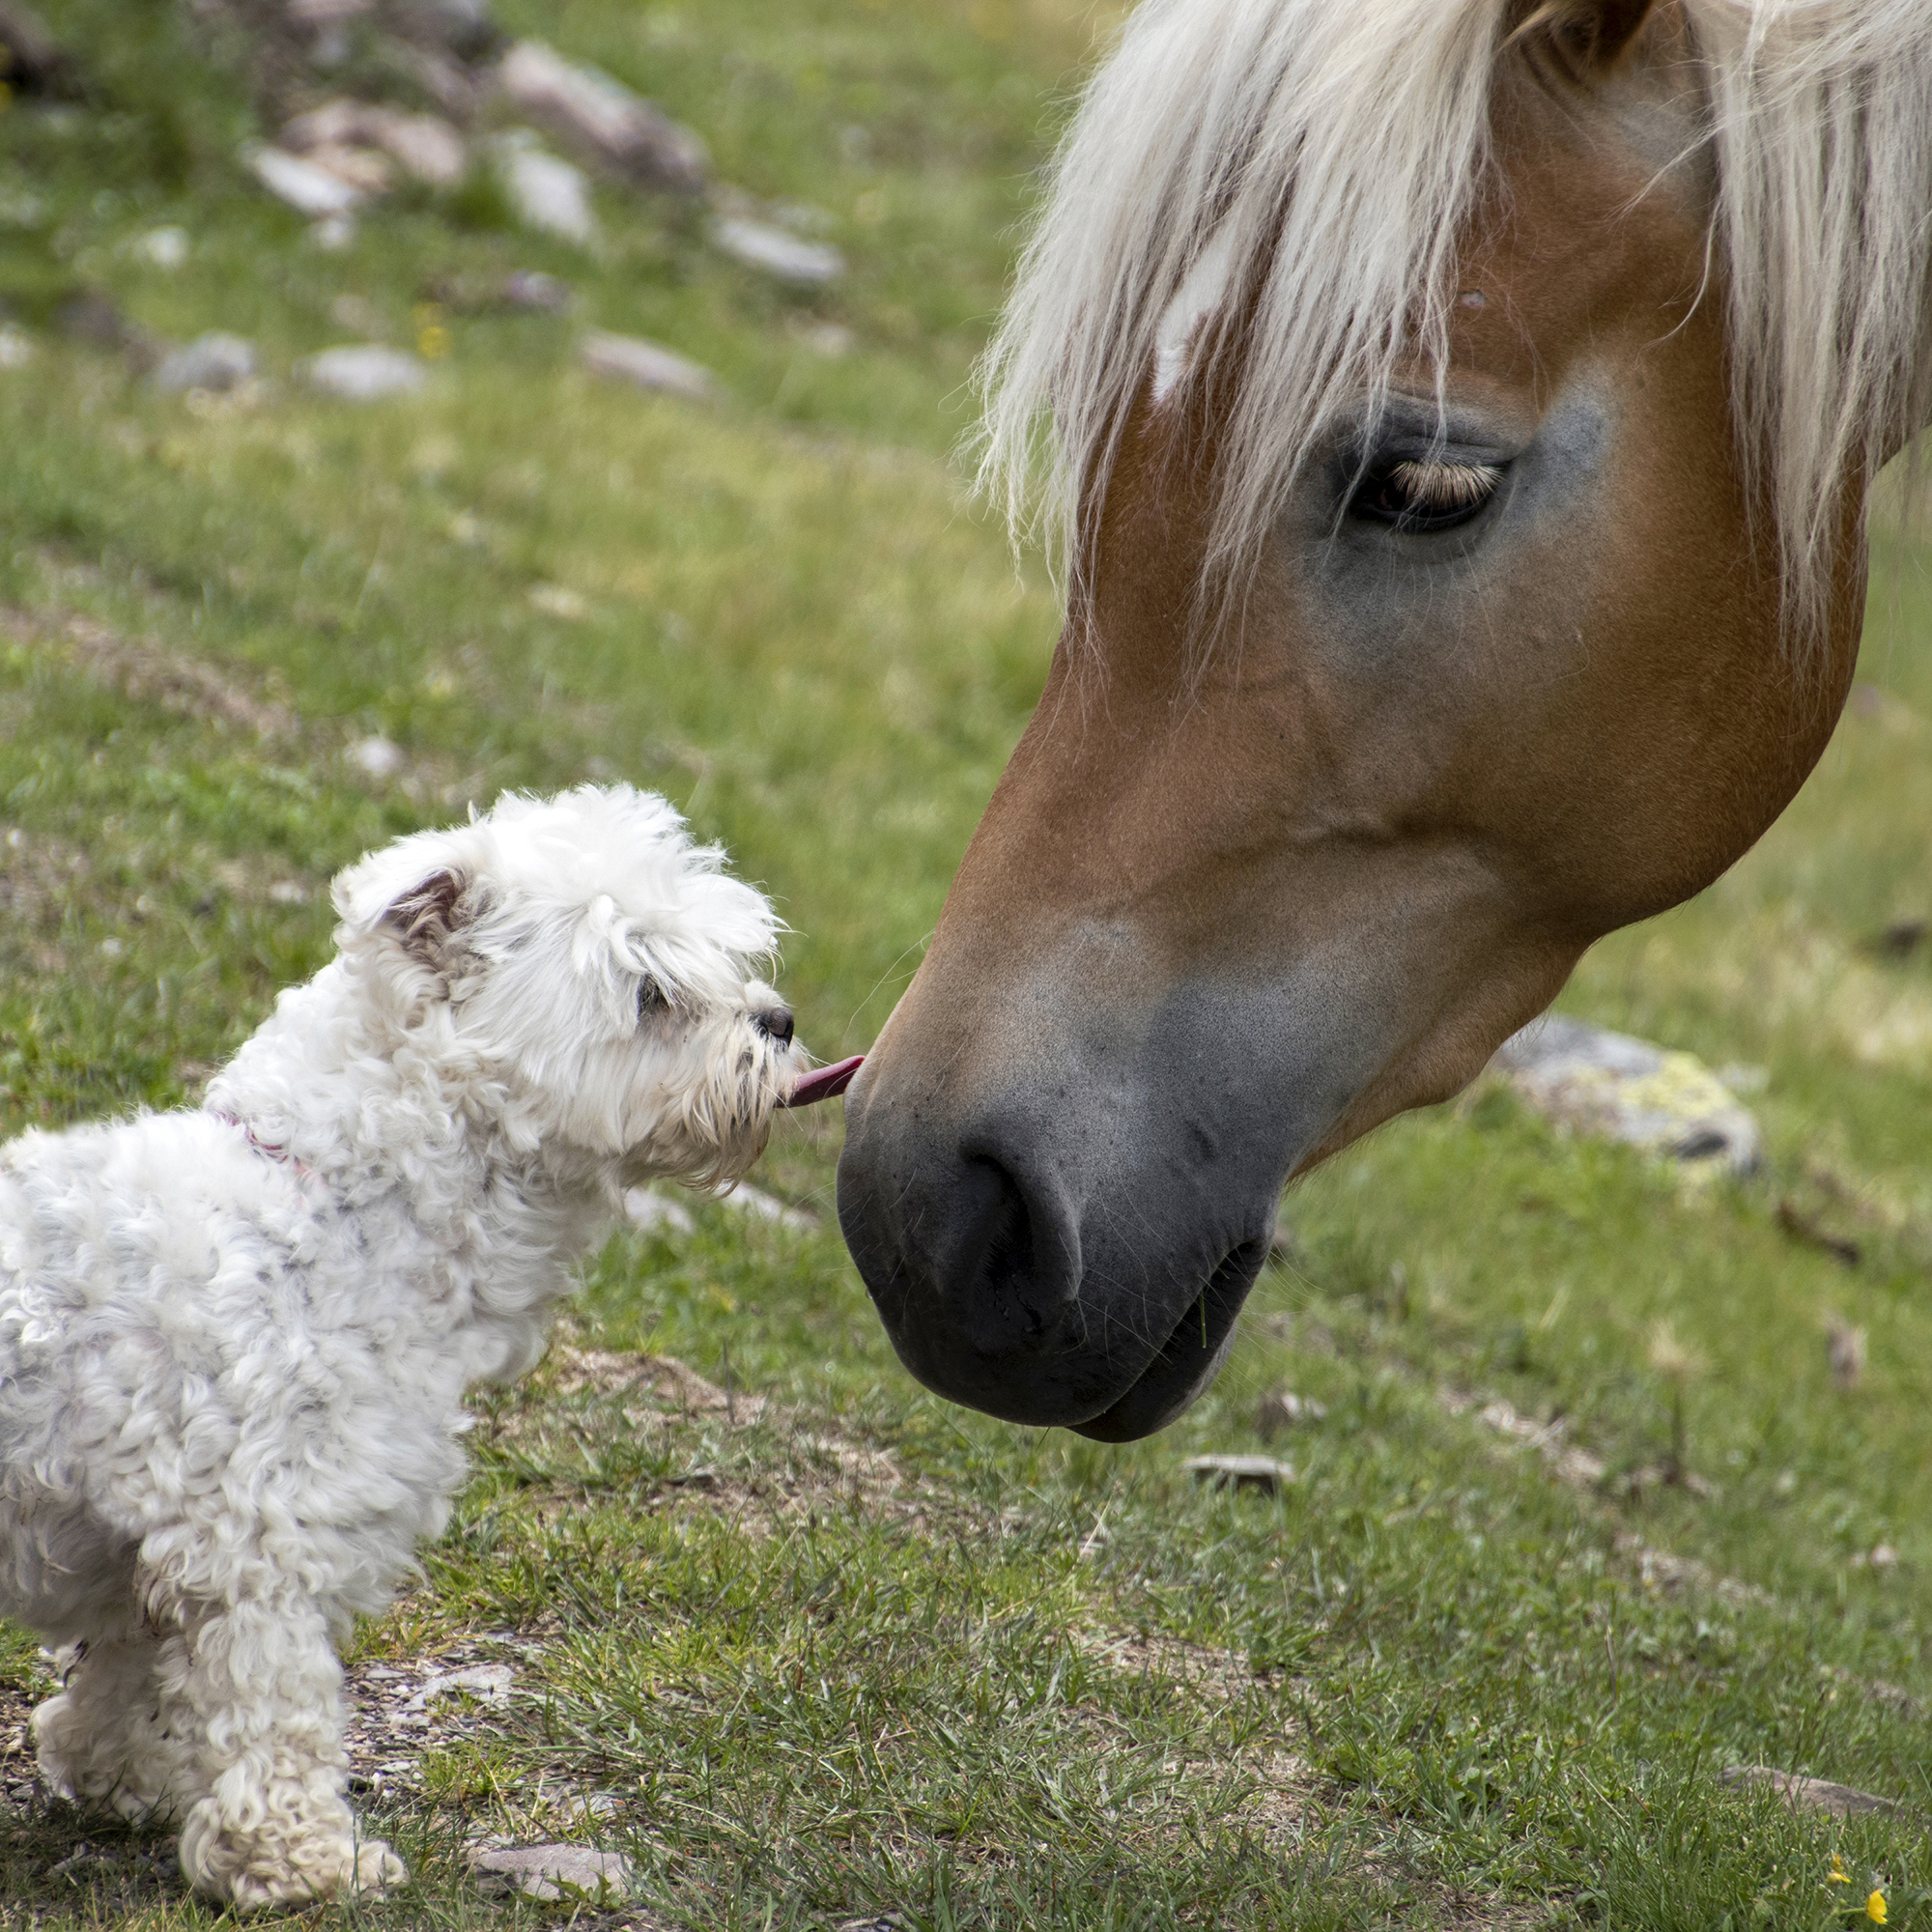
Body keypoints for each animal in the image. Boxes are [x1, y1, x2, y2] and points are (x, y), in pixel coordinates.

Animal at [0, 781, 800, 1901]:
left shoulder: (164, 1543)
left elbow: (134, 1673)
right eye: (651, 993)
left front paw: (121, 1776)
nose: (779, 1020)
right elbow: (278, 1708)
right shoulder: (270, 1537)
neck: (339, 1214)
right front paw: (297, 1856)